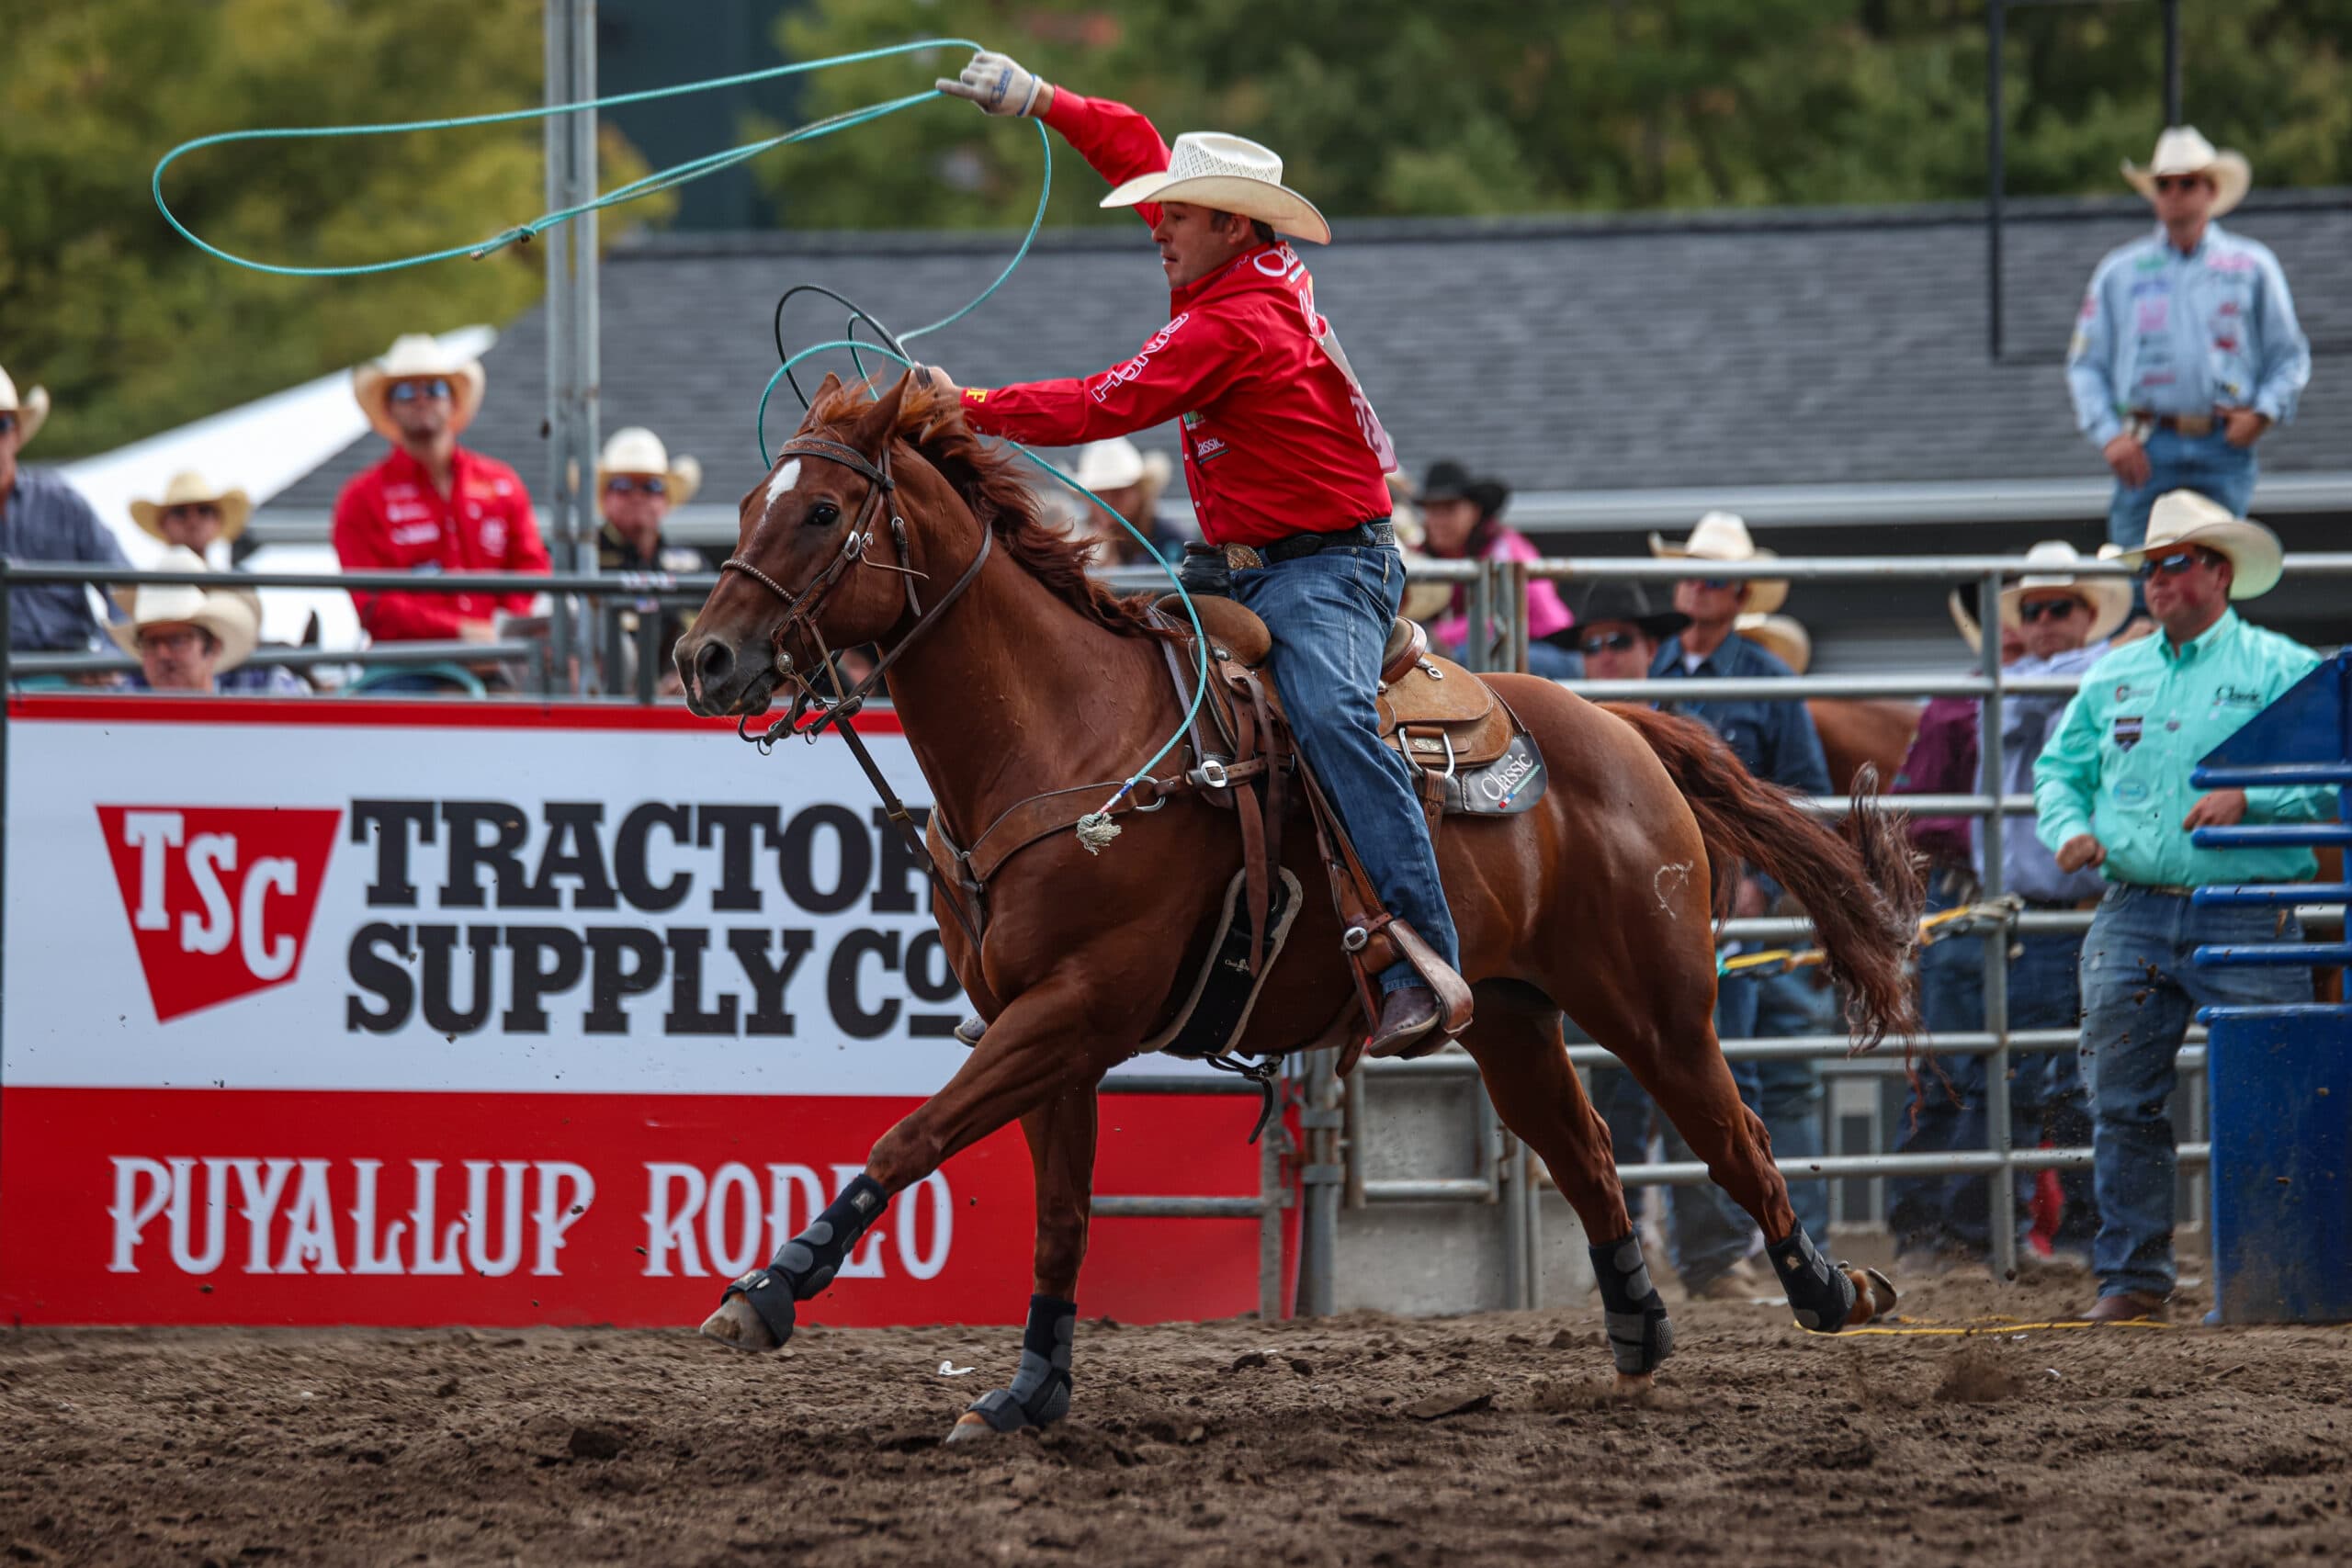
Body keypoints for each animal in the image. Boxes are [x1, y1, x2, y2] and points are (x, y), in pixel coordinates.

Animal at [676, 372, 1923, 1439]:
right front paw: (1027, 1396)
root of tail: (1622, 730)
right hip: (1512, 1017)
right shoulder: (1045, 1030)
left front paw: (767, 1289)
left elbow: (912, 1133)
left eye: (821, 509)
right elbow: (1059, 1220)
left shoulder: (1077, 1006)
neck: (1060, 730)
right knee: (1589, 1150)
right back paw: (1637, 1332)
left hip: (1657, 1004)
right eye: (747, 505)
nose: (703, 657)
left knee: (1732, 1135)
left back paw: (1829, 1291)